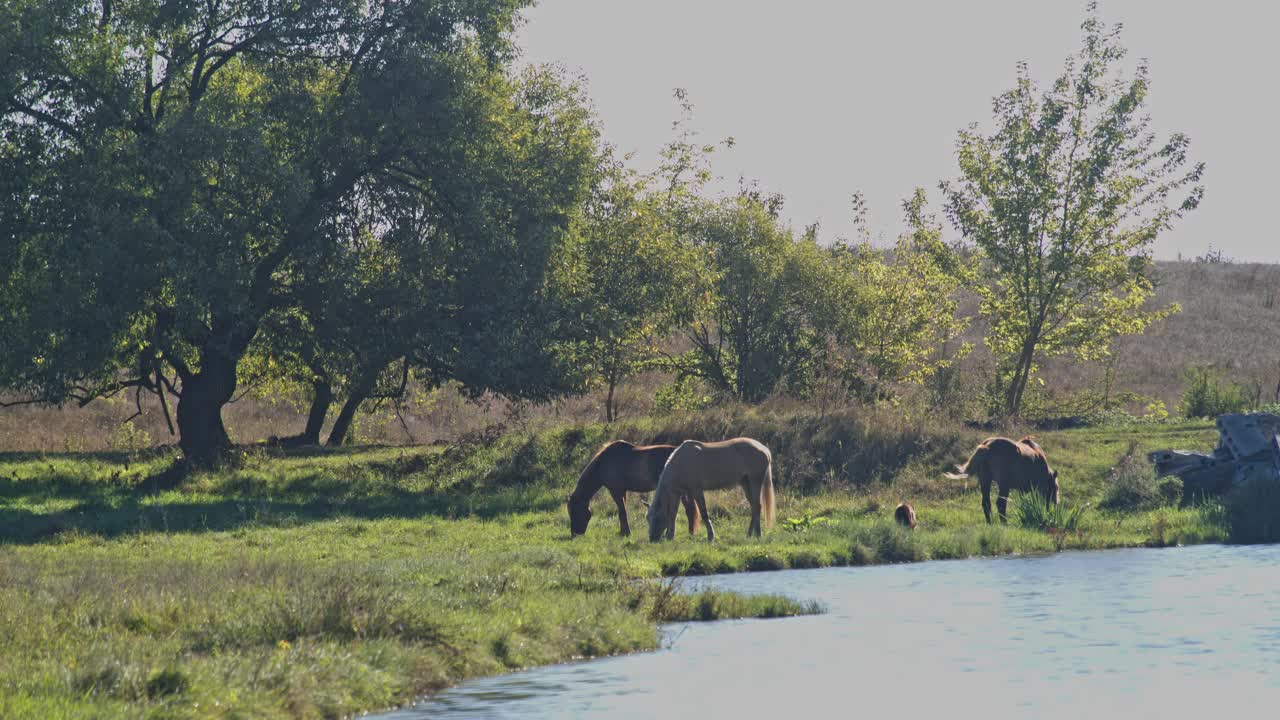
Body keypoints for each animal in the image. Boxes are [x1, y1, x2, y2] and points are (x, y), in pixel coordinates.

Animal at [565, 440, 701, 535]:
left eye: (574, 511)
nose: (575, 534)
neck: (603, 463)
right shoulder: (622, 492)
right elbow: (622, 512)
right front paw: (623, 532)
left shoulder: (616, 491)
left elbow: (622, 512)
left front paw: (626, 533)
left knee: (689, 510)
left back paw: (690, 533)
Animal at [645, 435, 773, 540]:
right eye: (647, 518)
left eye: (657, 518)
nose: (652, 539)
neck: (680, 463)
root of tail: (764, 449)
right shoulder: (677, 493)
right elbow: (672, 514)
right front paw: (670, 536)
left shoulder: (697, 491)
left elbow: (704, 513)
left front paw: (711, 536)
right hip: (745, 483)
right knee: (754, 507)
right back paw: (750, 534)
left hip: (755, 482)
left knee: (757, 506)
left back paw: (758, 534)